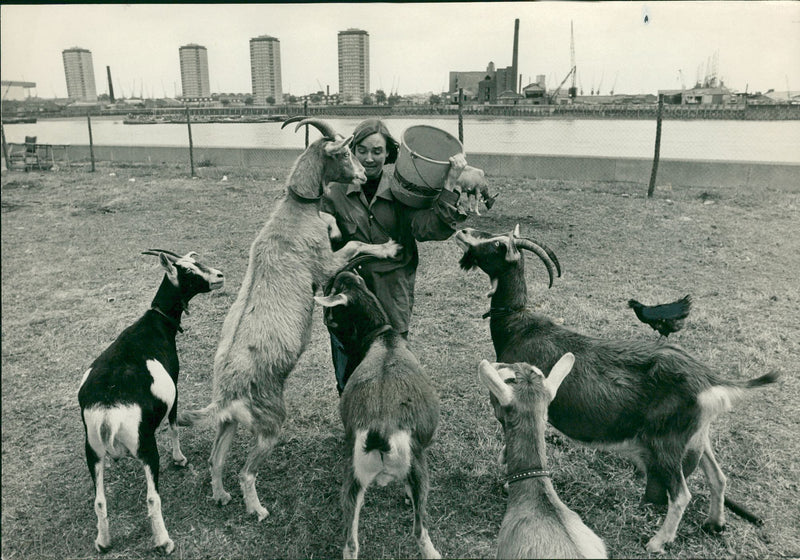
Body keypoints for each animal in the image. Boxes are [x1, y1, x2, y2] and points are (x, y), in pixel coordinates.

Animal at [77, 250, 223, 556]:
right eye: (188, 271)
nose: (219, 276)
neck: (155, 323)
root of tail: (108, 410)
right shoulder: (175, 388)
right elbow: (174, 425)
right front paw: (179, 458)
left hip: (92, 449)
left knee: (99, 500)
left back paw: (103, 542)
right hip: (145, 447)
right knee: (152, 498)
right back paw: (164, 541)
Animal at [180, 117, 404, 520]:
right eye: (345, 153)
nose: (363, 175)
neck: (293, 214)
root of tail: (227, 395)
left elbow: (335, 224)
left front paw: (335, 223)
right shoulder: (325, 264)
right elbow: (353, 245)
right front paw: (388, 246)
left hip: (229, 423)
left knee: (216, 459)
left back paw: (220, 495)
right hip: (270, 423)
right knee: (246, 471)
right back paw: (257, 509)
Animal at [314, 270, 440, 556]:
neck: (384, 338)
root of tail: (379, 433)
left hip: (353, 480)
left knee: (350, 544)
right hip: (417, 470)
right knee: (419, 531)